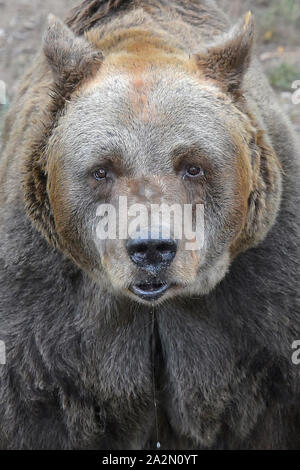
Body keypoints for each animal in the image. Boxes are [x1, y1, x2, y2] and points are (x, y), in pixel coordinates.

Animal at [0, 0, 298, 448]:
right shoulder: (43, 305)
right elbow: (35, 401)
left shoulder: (262, 293)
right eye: (102, 169)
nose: (152, 248)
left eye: (193, 166)